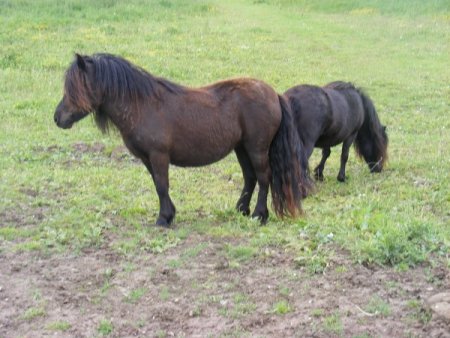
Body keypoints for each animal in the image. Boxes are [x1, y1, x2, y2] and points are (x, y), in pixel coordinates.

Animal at [54, 52, 312, 226]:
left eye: (74, 88)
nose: (58, 118)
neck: (142, 105)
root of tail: (274, 94)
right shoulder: (148, 159)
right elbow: (158, 185)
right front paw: (169, 214)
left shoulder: (159, 156)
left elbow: (161, 185)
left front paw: (163, 219)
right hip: (241, 148)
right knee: (250, 178)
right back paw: (241, 210)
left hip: (256, 148)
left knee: (263, 177)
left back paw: (260, 214)